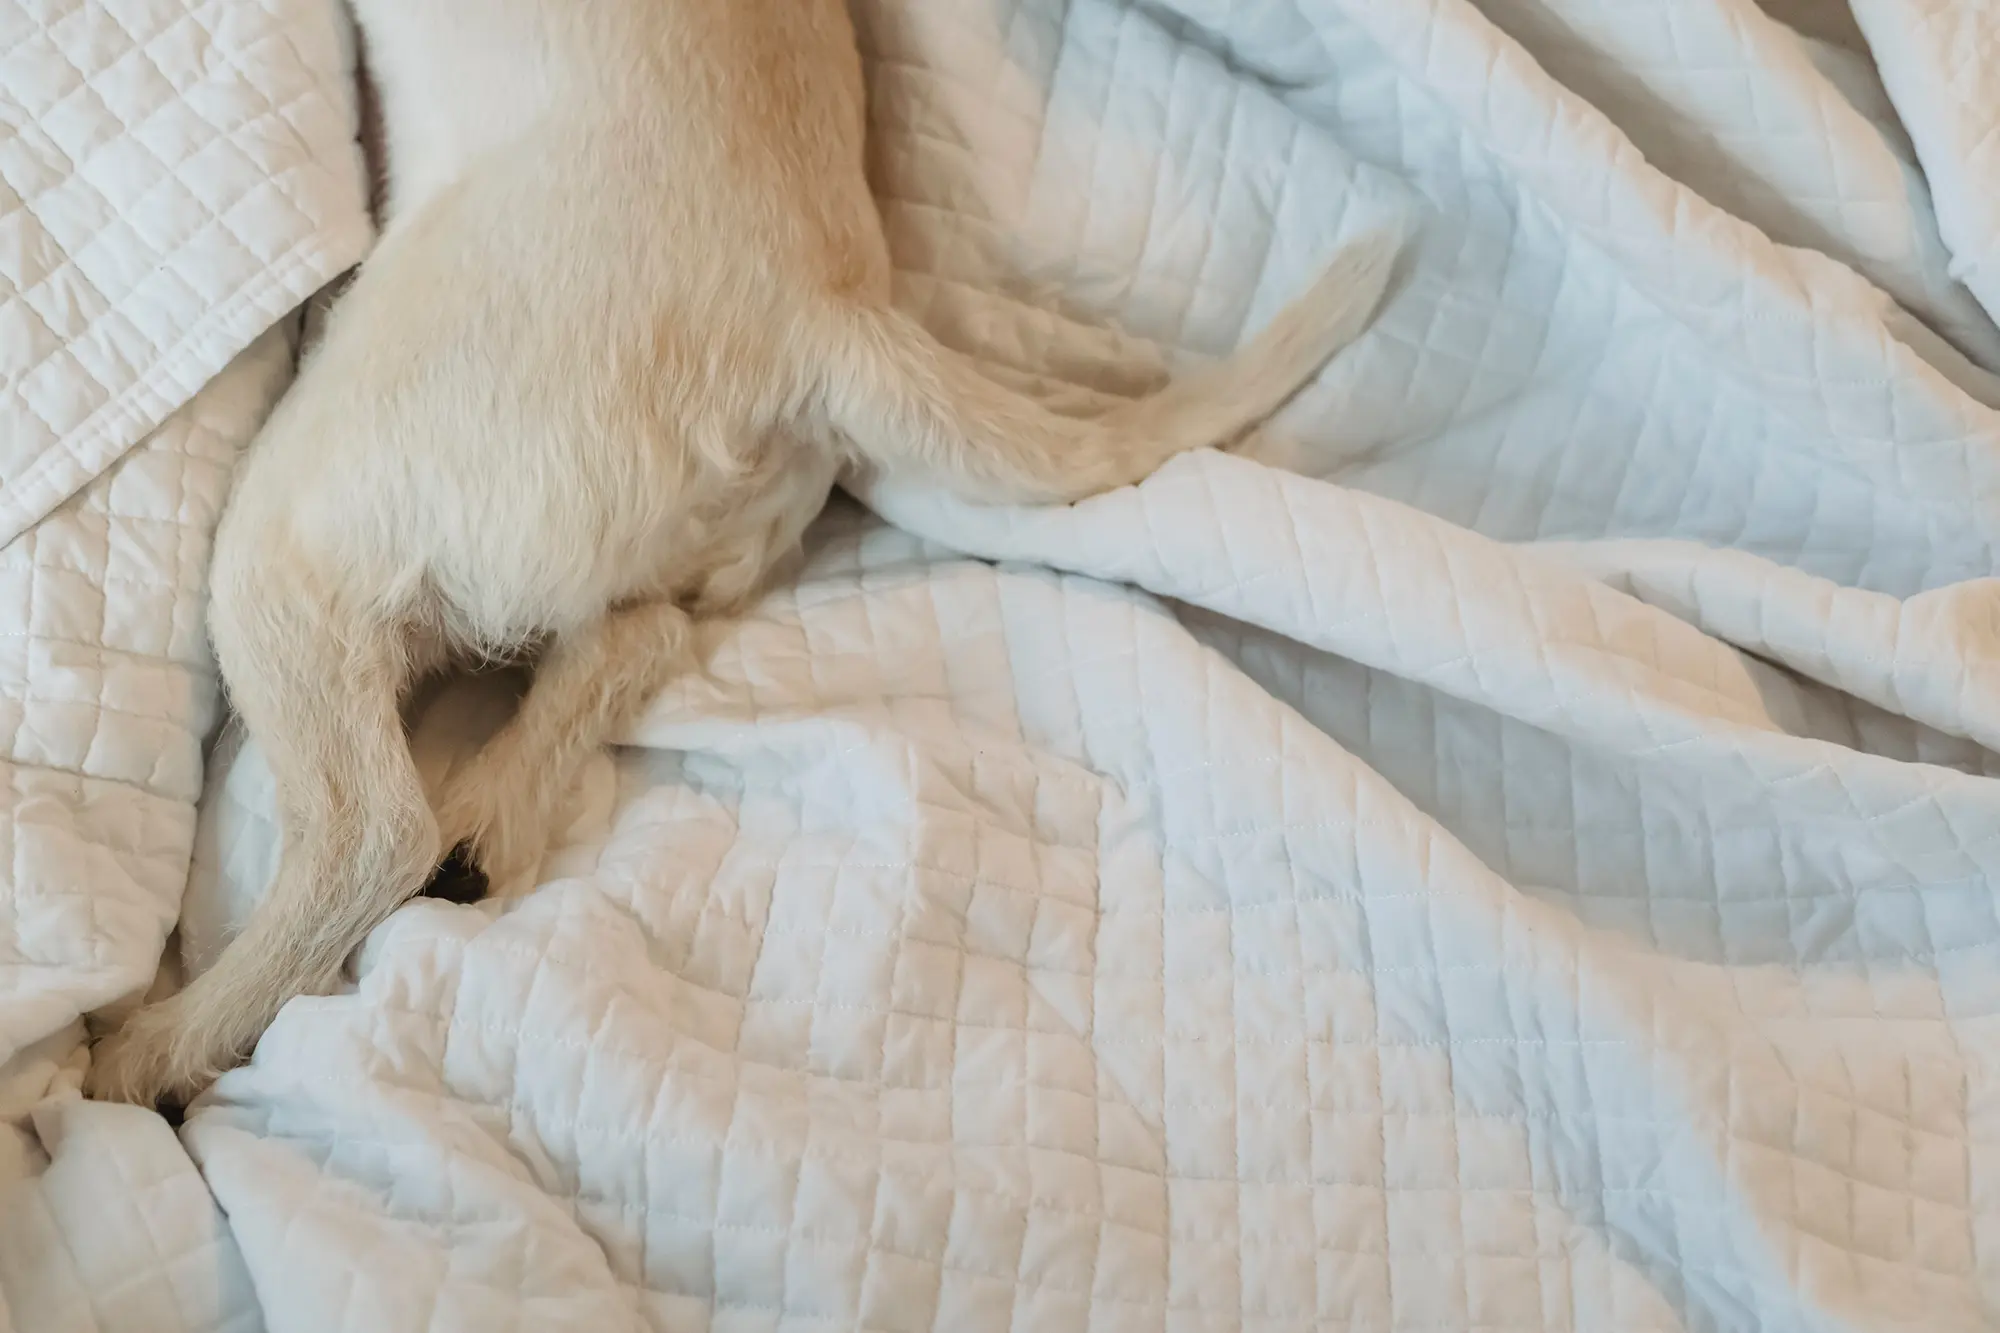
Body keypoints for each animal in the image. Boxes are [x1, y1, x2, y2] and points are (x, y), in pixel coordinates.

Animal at [86, 0, 1400, 1096]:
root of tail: (825, 317)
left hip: (303, 528)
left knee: (370, 829)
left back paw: (161, 1046)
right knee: (634, 639)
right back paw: (489, 819)